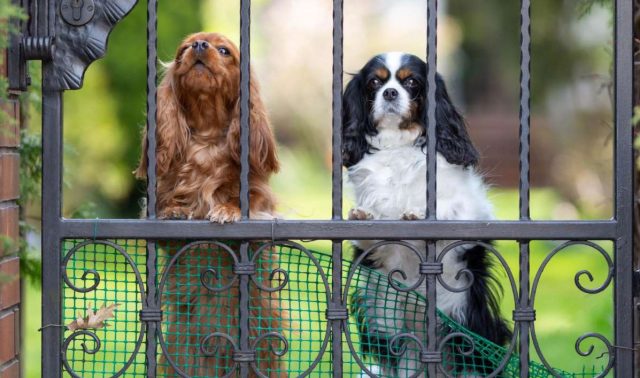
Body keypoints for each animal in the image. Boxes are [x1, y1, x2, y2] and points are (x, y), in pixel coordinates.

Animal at [344, 52, 510, 376]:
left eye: (411, 82)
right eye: (374, 83)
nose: (390, 93)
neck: (398, 145)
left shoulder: (469, 212)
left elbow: (448, 211)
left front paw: (418, 213)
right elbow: (372, 238)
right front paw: (364, 216)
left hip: (466, 324)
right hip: (385, 316)